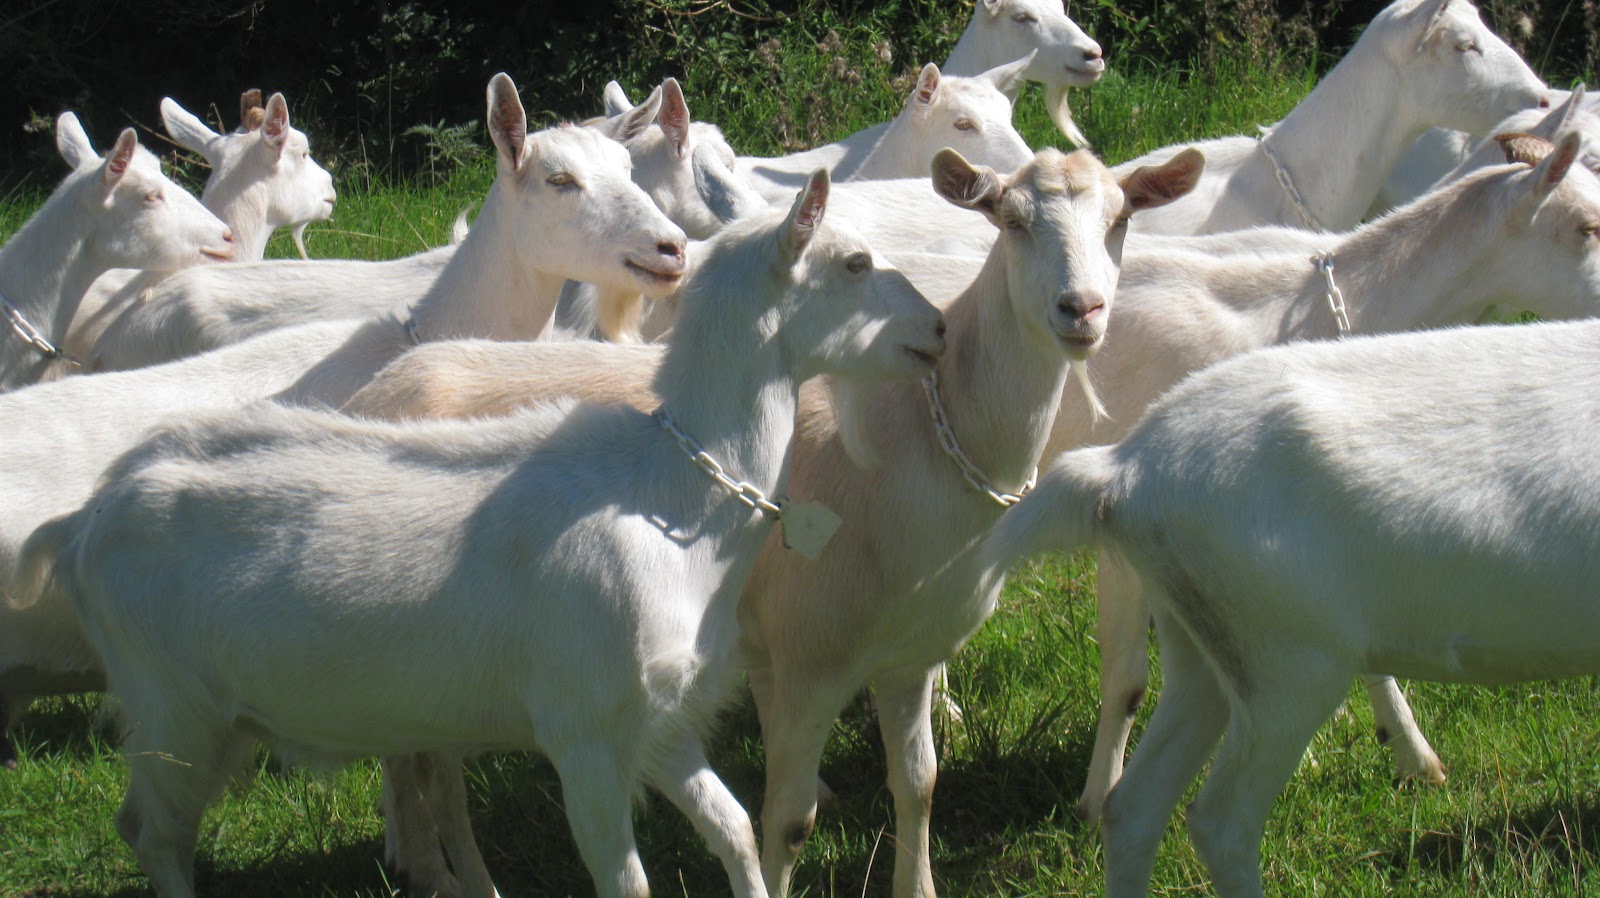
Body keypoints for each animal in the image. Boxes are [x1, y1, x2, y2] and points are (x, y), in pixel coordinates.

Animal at [18, 168, 947, 898]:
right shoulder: (583, 734)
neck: (675, 491)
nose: (938, 329)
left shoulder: (661, 720)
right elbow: (628, 882)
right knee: (153, 833)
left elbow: (734, 832)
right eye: (855, 263)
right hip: (171, 706)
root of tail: (87, 520)